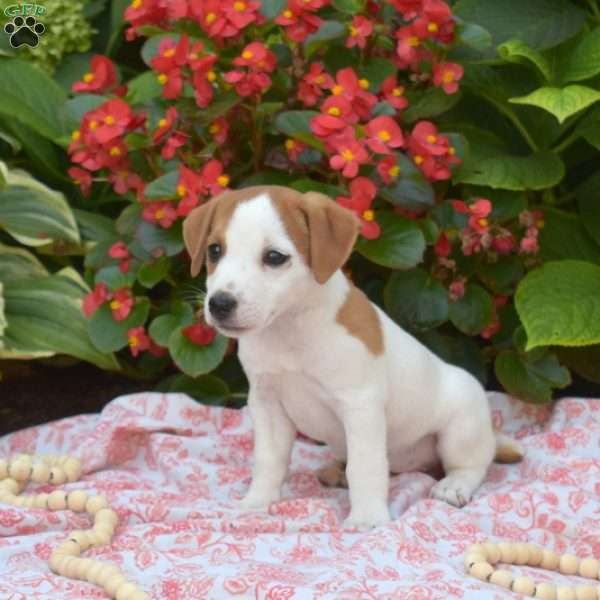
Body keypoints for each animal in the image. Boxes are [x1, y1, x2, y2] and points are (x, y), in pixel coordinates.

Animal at [183, 185, 520, 528]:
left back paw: (453, 485)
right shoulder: (266, 404)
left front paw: (367, 518)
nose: (220, 304)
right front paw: (257, 501)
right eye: (214, 250)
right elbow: (269, 459)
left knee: (472, 465)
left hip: (460, 430)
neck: (290, 329)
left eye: (274, 257)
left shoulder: (361, 406)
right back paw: (336, 471)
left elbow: (365, 467)